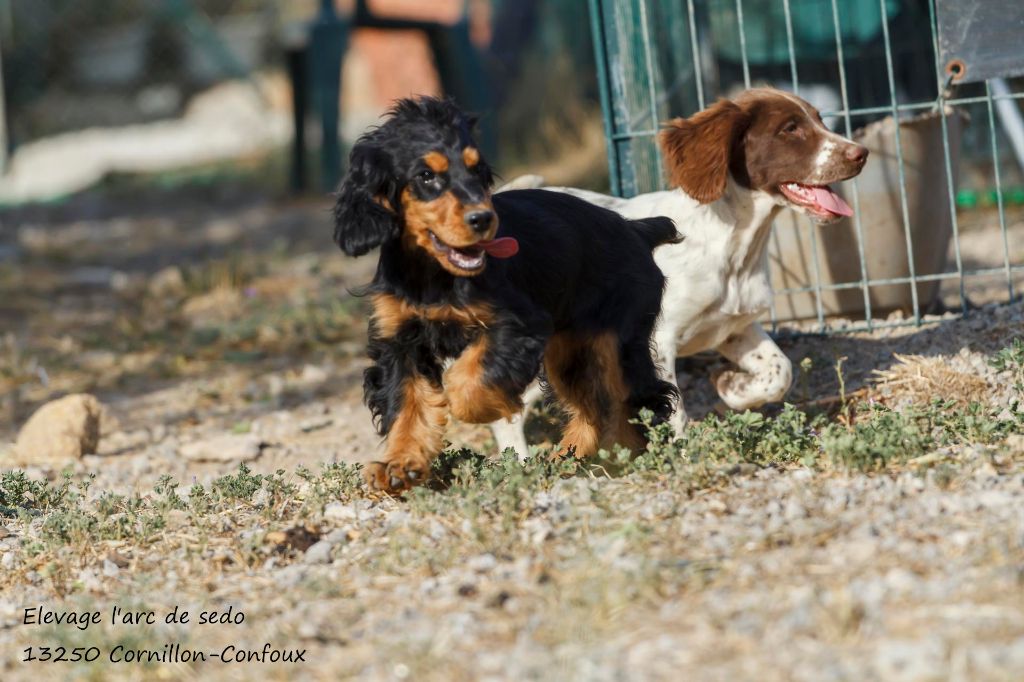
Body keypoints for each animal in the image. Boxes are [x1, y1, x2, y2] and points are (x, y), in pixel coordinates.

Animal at [331, 96, 675, 489]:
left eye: (476, 170)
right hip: (570, 350)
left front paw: (477, 407)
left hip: (616, 337)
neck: (432, 273)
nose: (483, 219)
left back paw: (627, 454)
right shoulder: (400, 341)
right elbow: (407, 404)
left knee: (633, 398)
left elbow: (469, 380)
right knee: (593, 404)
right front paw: (399, 467)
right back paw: (569, 457)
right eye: (426, 176)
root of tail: (638, 230)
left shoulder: (517, 324)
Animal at [491, 87, 868, 448]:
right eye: (790, 128)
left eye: (820, 119)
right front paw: (680, 451)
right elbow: (674, 411)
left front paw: (732, 387)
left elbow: (780, 369)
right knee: (506, 416)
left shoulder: (733, 328)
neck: (735, 247)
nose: (860, 153)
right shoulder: (660, 338)